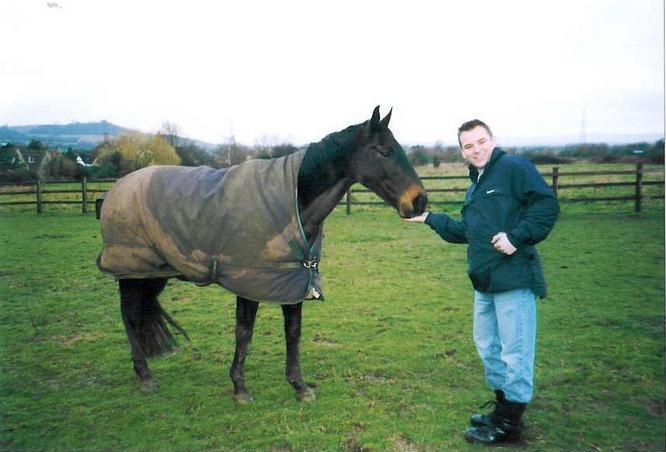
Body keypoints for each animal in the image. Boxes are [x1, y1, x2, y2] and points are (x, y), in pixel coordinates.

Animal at [97, 107, 426, 402]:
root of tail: (113, 192)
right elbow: (244, 332)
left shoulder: (295, 280)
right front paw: (240, 389)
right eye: (383, 151)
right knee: (130, 318)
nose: (419, 201)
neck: (294, 200)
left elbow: (293, 332)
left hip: (152, 273)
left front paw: (300, 387)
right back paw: (145, 377)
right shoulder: (249, 281)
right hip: (131, 274)